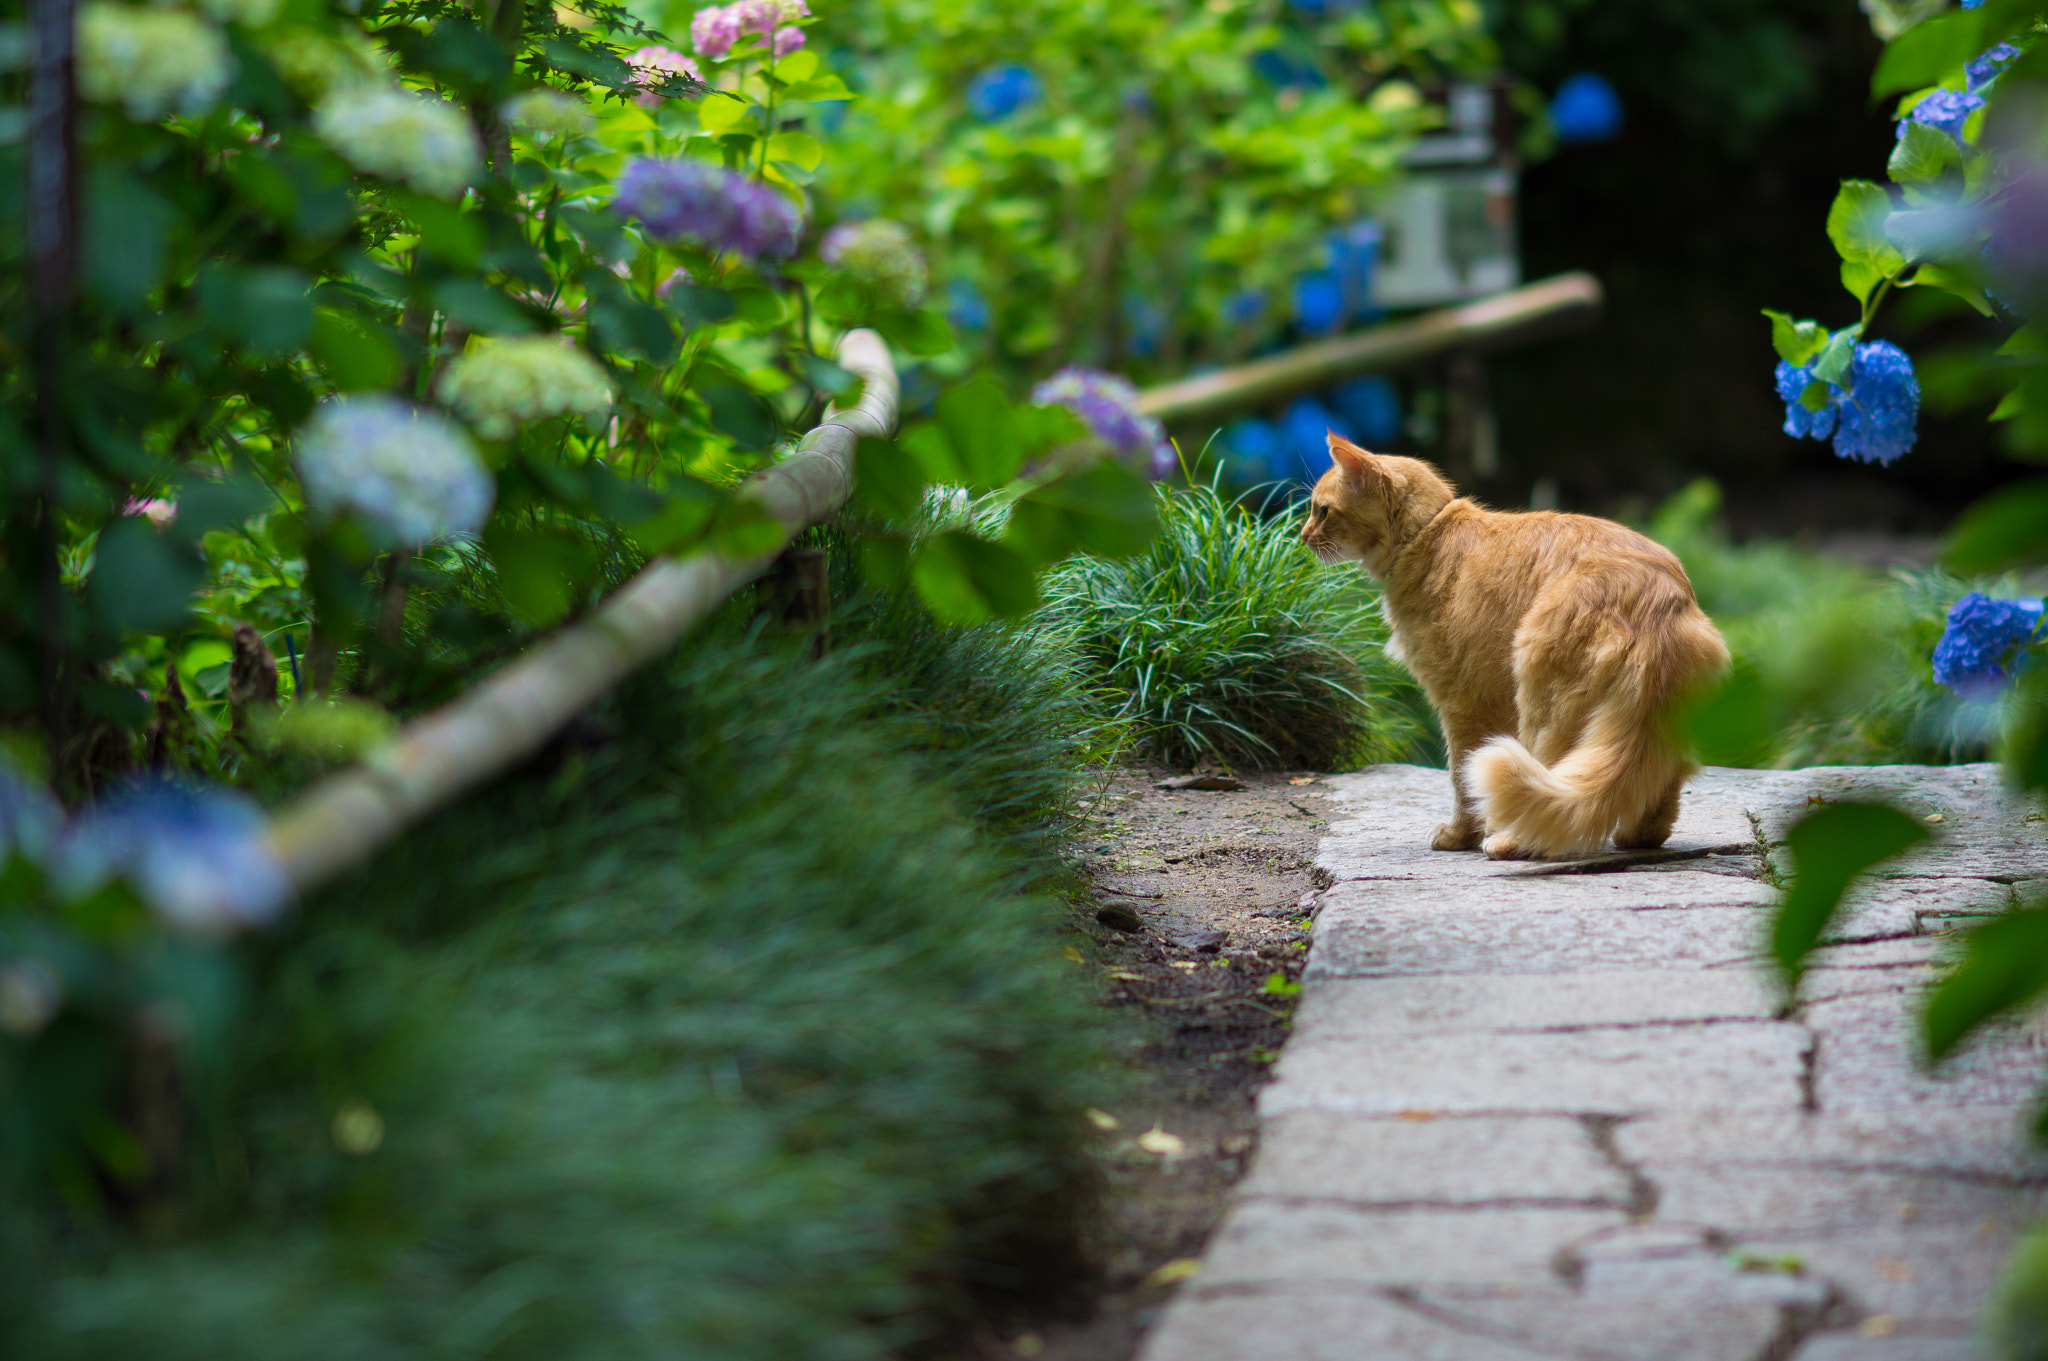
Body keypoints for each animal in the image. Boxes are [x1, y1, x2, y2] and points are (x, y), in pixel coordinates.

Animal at [1302, 435, 1720, 859]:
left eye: (1322, 510)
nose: (1302, 537)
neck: (1428, 534)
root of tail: (1655, 594)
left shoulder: (1460, 704)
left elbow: (1463, 778)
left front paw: (1460, 837)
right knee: (1659, 786)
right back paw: (1637, 838)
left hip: (1542, 705)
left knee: (1547, 789)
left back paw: (1509, 841)